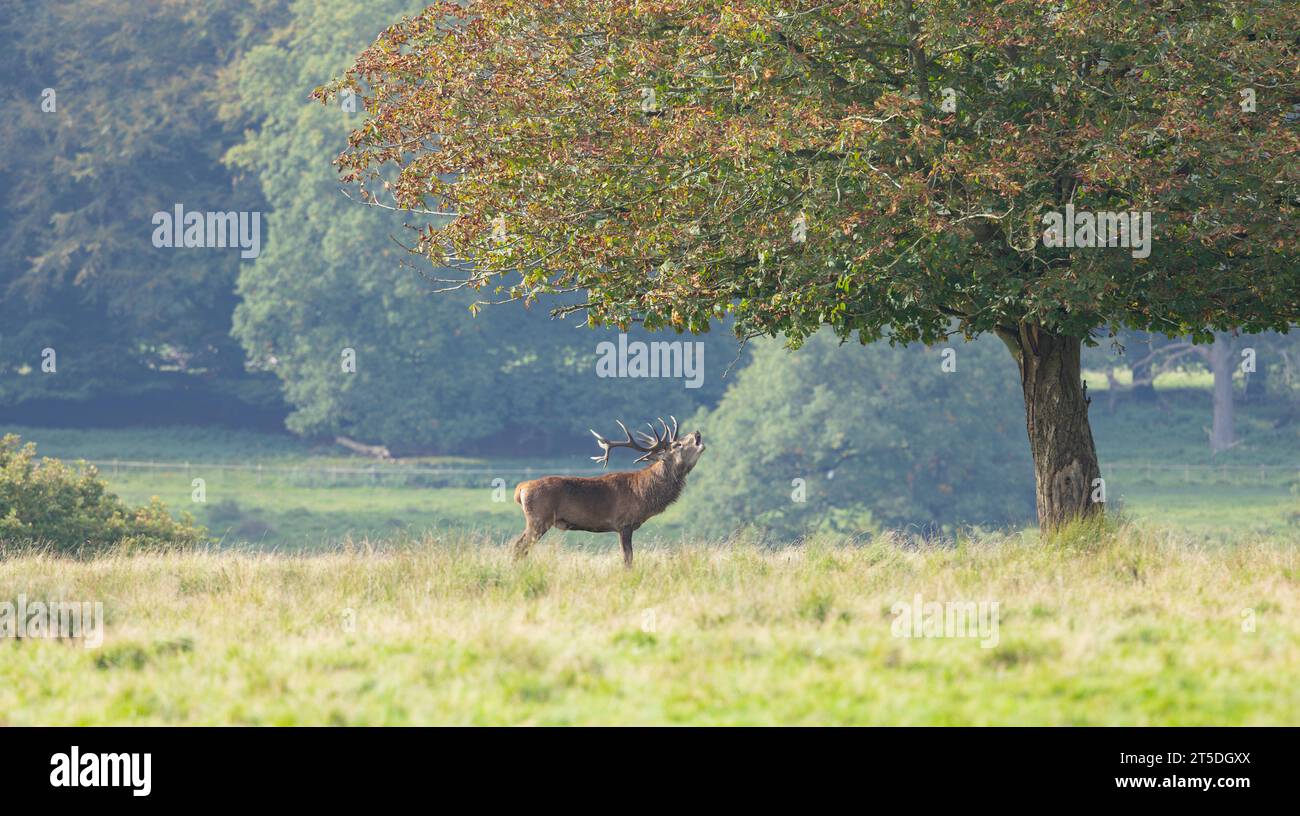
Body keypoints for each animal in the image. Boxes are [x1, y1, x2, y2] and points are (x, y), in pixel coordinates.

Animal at [510, 416, 706, 568]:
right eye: (678, 444)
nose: (697, 433)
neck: (644, 494)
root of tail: (521, 488)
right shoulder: (624, 523)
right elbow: (628, 558)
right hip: (538, 519)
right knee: (518, 546)